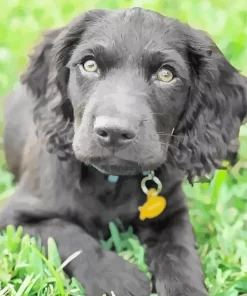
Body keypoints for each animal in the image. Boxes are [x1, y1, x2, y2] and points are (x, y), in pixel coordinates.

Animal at [0, 6, 247, 296]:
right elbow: (67, 235)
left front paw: (185, 287)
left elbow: (180, 253)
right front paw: (116, 278)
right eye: (90, 65)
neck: (112, 181)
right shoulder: (16, 216)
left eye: (166, 74)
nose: (115, 131)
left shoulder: (171, 214)